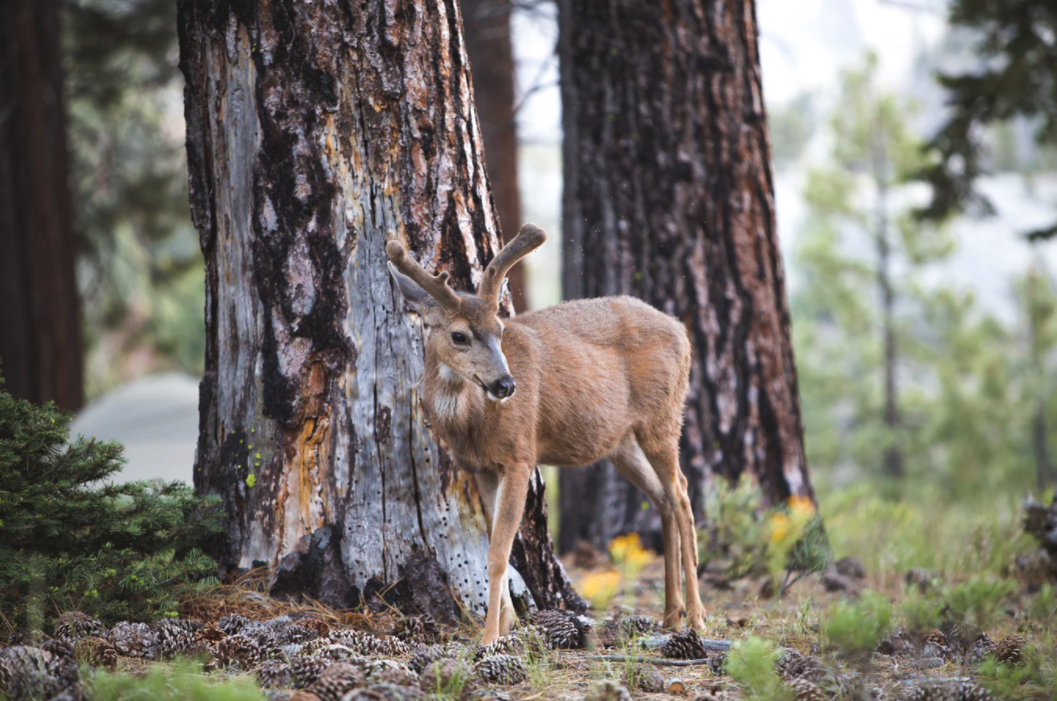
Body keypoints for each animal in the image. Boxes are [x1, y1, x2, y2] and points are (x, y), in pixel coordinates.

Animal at [384, 222, 706, 642]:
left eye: (500, 329)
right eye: (459, 335)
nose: (506, 384)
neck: (470, 423)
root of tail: (682, 331)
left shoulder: (519, 455)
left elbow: (498, 554)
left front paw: (490, 638)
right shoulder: (480, 467)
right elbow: (495, 546)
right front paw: (508, 625)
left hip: (662, 417)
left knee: (682, 494)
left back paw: (697, 616)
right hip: (621, 443)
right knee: (663, 499)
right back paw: (671, 615)